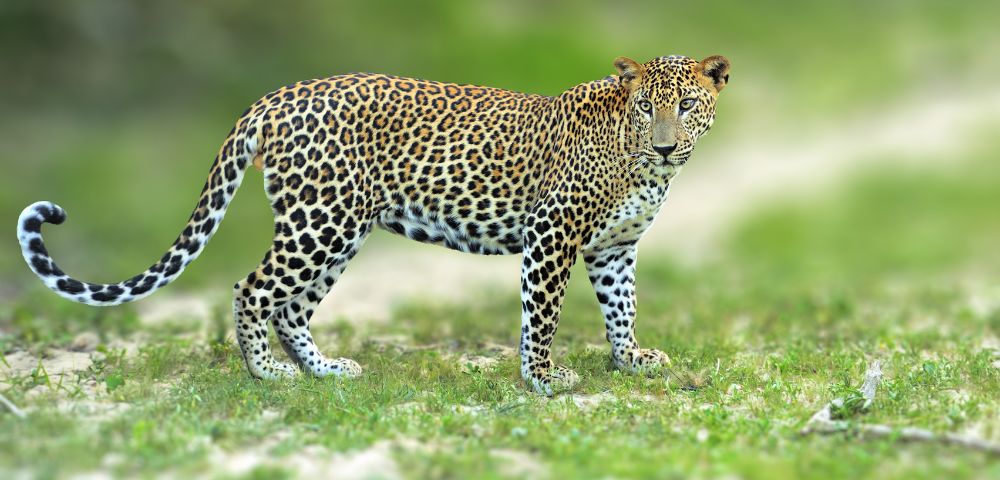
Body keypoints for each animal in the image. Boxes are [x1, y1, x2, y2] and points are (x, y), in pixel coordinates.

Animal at [17, 54, 730, 395]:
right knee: (253, 289)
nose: (667, 146)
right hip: (320, 222)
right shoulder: (550, 234)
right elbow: (544, 315)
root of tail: (274, 97)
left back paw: (324, 372)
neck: (645, 166)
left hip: (340, 227)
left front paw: (631, 360)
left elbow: (622, 307)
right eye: (646, 107)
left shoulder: (615, 249)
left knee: (291, 307)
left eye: (688, 106)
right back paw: (266, 375)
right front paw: (545, 380)